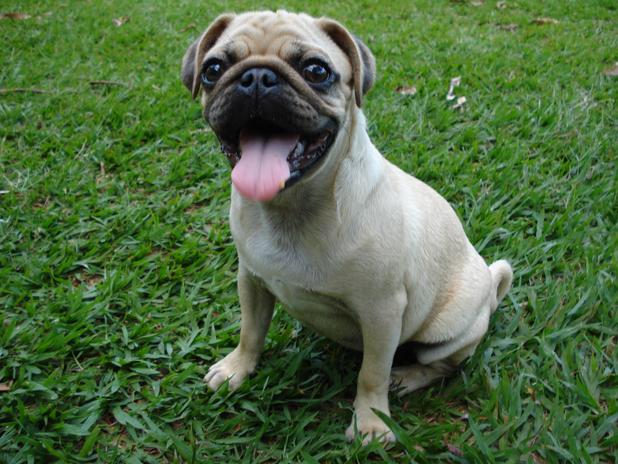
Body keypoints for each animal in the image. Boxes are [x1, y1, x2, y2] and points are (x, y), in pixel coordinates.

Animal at [181, 10, 513, 443]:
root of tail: (490, 283)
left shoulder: (382, 313)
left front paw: (370, 421)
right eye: (213, 70)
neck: (291, 207)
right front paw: (238, 368)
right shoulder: (251, 281)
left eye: (316, 71)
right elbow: (250, 331)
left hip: (448, 328)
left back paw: (407, 377)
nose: (256, 77)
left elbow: (372, 372)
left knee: (442, 365)